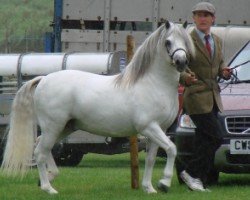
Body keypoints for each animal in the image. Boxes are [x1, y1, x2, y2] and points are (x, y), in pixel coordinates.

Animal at [0, 21, 194, 195]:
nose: (181, 62)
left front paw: (150, 188)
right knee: (40, 152)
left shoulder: (159, 129)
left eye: (186, 41)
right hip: (53, 126)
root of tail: (43, 79)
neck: (153, 83)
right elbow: (172, 149)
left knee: (43, 146)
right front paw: (164, 183)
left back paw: (49, 177)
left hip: (65, 127)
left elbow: (151, 159)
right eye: (168, 42)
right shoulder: (149, 127)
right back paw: (49, 188)